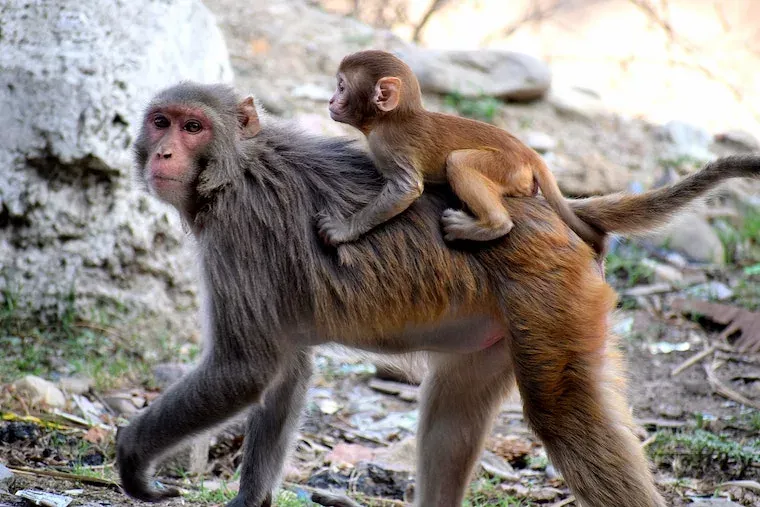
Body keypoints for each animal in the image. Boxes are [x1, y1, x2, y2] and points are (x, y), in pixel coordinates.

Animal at [116, 80, 760, 507]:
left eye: (193, 127)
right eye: (162, 122)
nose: (165, 152)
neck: (233, 170)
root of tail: (549, 209)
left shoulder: (238, 236)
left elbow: (246, 369)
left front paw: (132, 456)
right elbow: (286, 371)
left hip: (554, 295)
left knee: (561, 415)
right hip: (510, 321)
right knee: (452, 414)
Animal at [317, 49, 605, 255]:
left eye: (341, 87)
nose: (330, 101)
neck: (389, 119)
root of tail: (527, 153)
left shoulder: (389, 144)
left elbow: (406, 189)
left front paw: (343, 229)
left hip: (506, 167)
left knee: (459, 161)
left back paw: (491, 225)